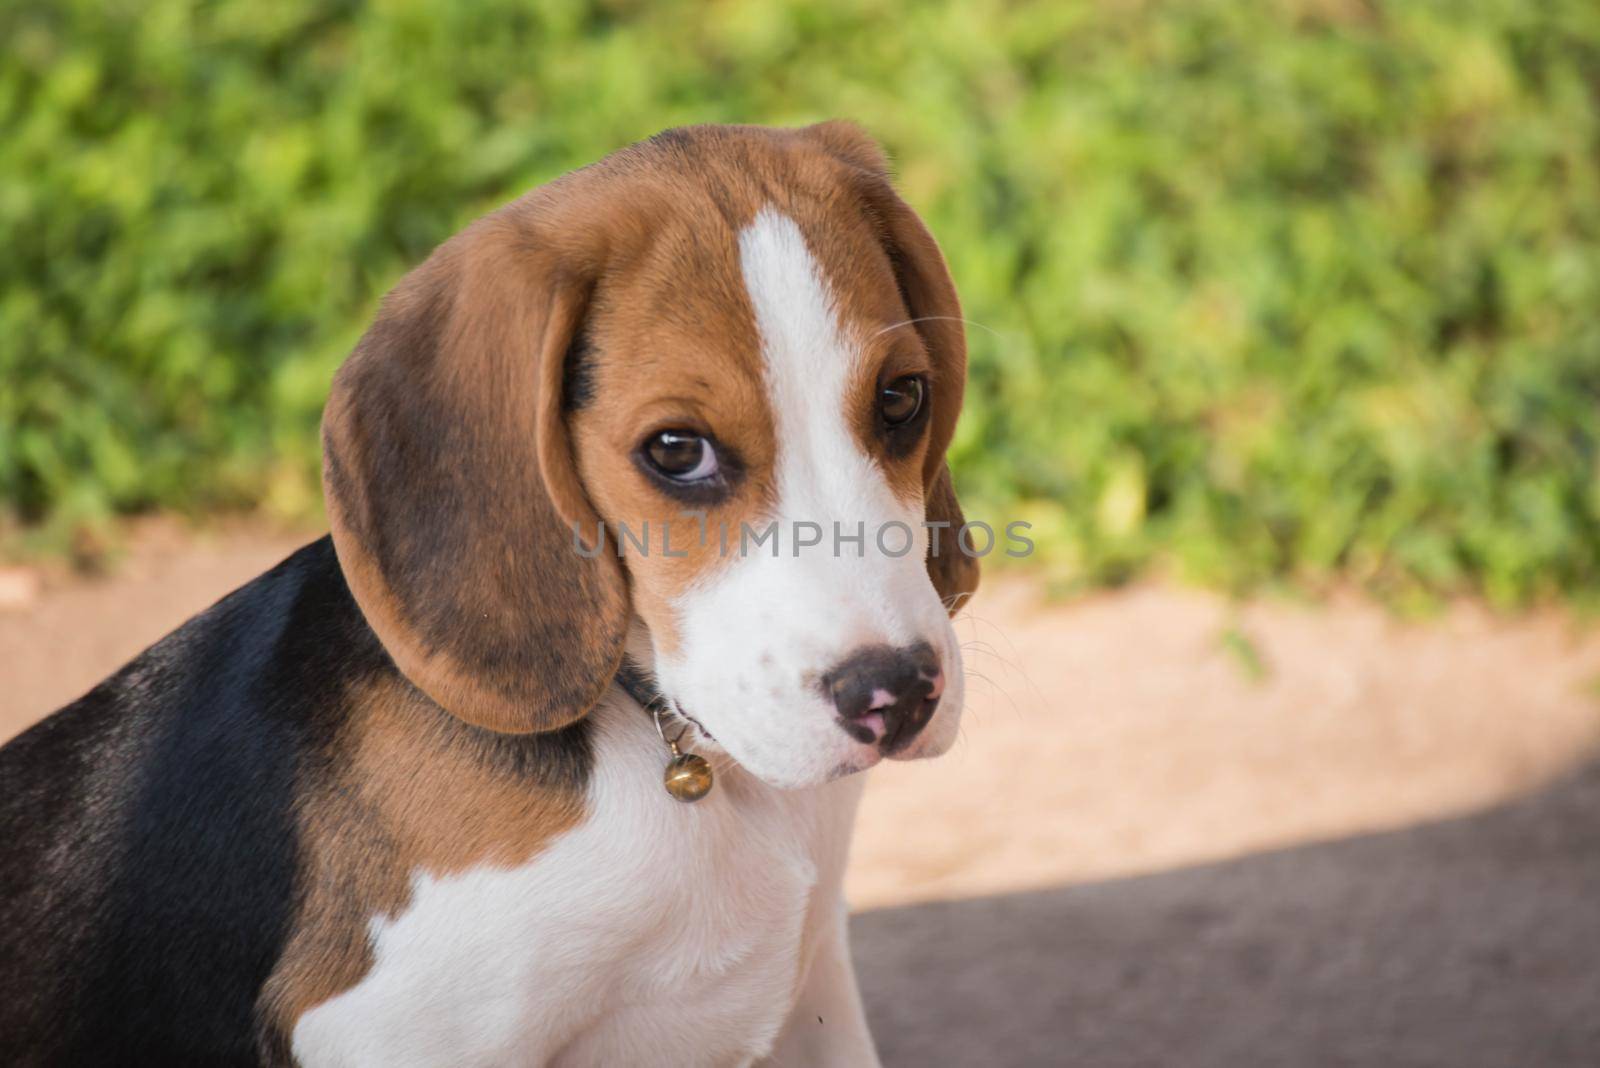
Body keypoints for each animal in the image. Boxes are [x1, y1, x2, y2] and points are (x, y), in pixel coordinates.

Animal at [0, 120, 979, 1061]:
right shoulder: (392, 1032)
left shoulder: (818, 1000)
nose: (896, 692)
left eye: (903, 398)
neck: (674, 751)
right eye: (675, 451)